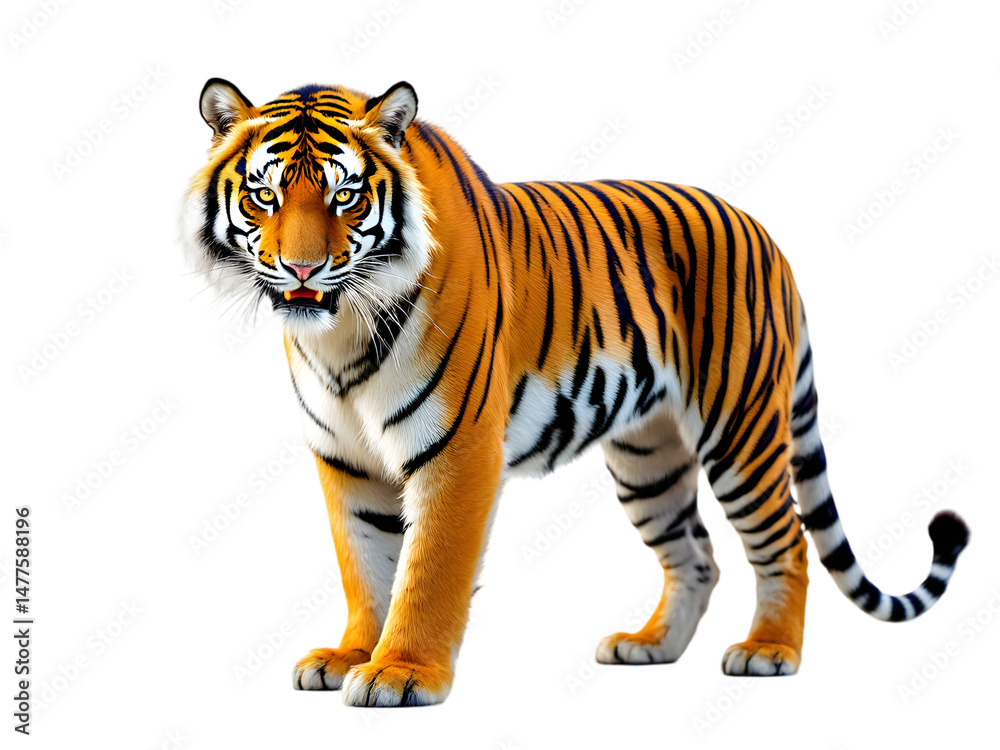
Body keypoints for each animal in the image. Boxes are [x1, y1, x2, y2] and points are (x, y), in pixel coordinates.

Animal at [182, 78, 970, 707]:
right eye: (264, 194)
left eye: (344, 195)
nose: (300, 269)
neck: (340, 333)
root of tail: (767, 237)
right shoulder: (344, 459)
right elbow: (365, 566)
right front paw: (350, 655)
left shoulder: (458, 450)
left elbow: (428, 569)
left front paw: (401, 672)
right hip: (648, 457)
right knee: (698, 555)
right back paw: (649, 646)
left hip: (740, 429)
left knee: (789, 542)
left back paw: (769, 652)